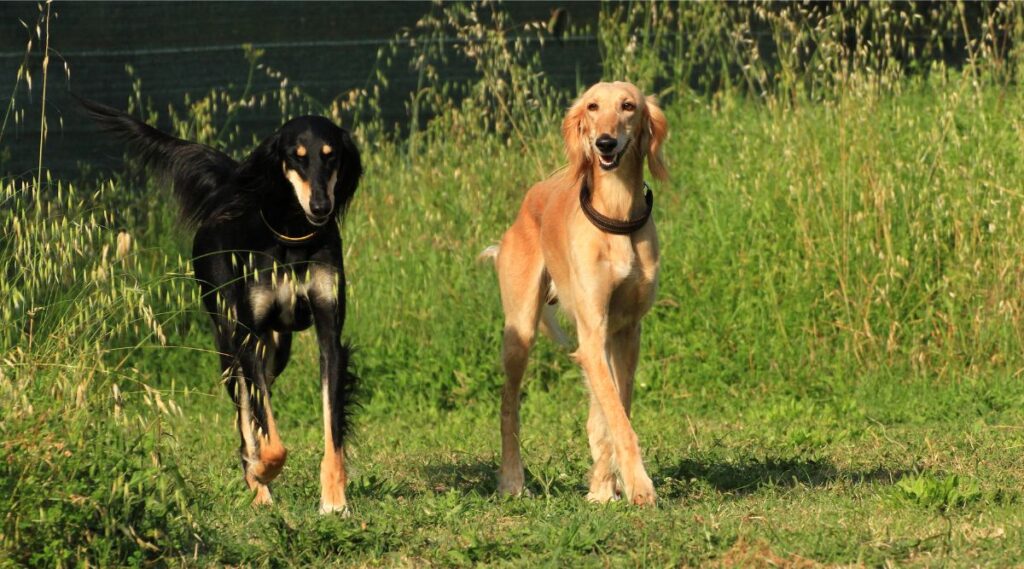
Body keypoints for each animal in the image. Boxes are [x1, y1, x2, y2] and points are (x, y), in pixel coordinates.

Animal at [83, 98, 364, 515]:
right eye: (296, 158)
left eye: (331, 157)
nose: (320, 206)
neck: (292, 232)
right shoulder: (247, 338)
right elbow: (268, 436)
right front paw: (261, 471)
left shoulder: (329, 333)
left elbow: (331, 428)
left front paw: (333, 499)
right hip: (231, 343)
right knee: (246, 417)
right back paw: (258, 489)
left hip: (276, 348)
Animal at [483, 82, 667, 505]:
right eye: (592, 106)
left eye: (628, 106)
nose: (605, 143)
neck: (617, 216)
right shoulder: (593, 332)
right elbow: (617, 419)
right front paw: (638, 486)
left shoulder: (625, 332)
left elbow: (615, 412)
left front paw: (604, 486)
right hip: (519, 332)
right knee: (508, 406)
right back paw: (512, 480)